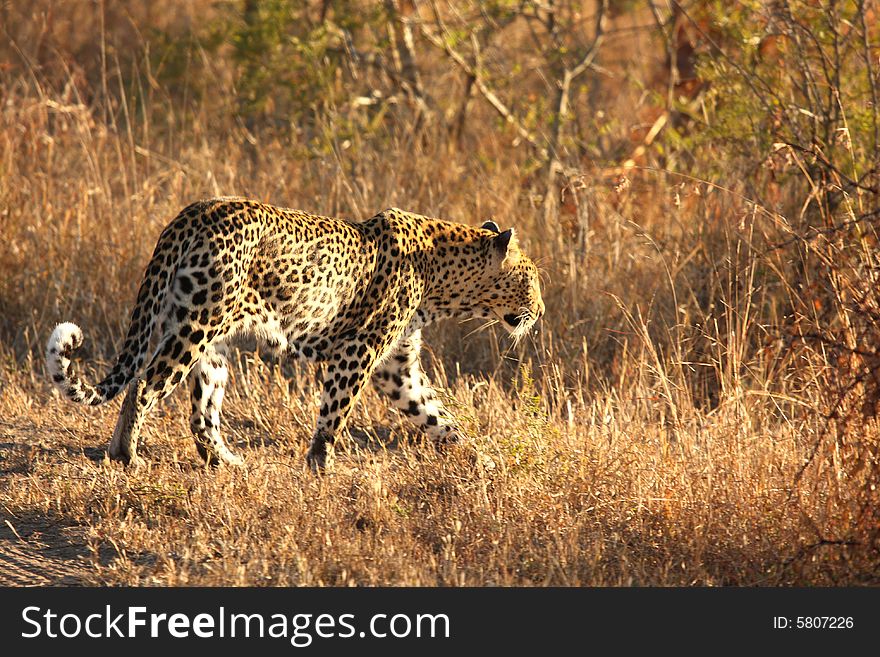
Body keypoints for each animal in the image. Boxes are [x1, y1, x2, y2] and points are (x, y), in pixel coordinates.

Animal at [48, 197, 548, 468]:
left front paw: (480, 461)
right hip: (197, 325)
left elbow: (438, 417)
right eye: (530, 279)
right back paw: (126, 455)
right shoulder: (357, 352)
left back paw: (223, 462)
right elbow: (334, 415)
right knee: (145, 384)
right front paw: (321, 468)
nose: (540, 311)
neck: (444, 282)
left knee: (201, 410)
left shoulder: (397, 367)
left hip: (210, 343)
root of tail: (193, 213)